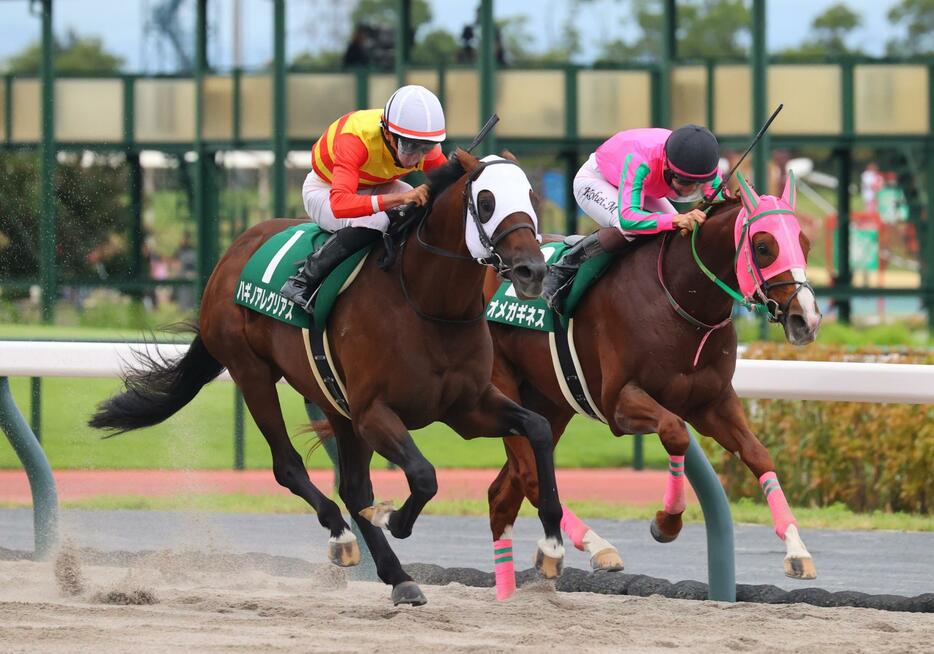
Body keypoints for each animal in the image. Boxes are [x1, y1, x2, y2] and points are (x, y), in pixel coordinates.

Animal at [89, 150, 572, 608]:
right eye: (487, 202)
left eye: (532, 199)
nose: (532, 271)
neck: (427, 303)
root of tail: (233, 250)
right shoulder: (374, 412)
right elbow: (423, 475)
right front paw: (393, 517)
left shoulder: (467, 407)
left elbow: (537, 428)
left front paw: (551, 545)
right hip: (253, 373)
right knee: (289, 466)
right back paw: (342, 536)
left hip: (332, 399)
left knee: (353, 486)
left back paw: (398, 577)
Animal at [486, 172, 824, 604]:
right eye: (764, 247)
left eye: (805, 243)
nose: (806, 320)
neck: (683, 301)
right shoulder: (619, 402)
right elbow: (675, 433)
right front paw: (667, 521)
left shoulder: (713, 401)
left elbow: (758, 453)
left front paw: (797, 549)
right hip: (501, 385)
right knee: (528, 475)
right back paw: (594, 546)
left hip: (550, 402)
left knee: (504, 492)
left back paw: (528, 573)